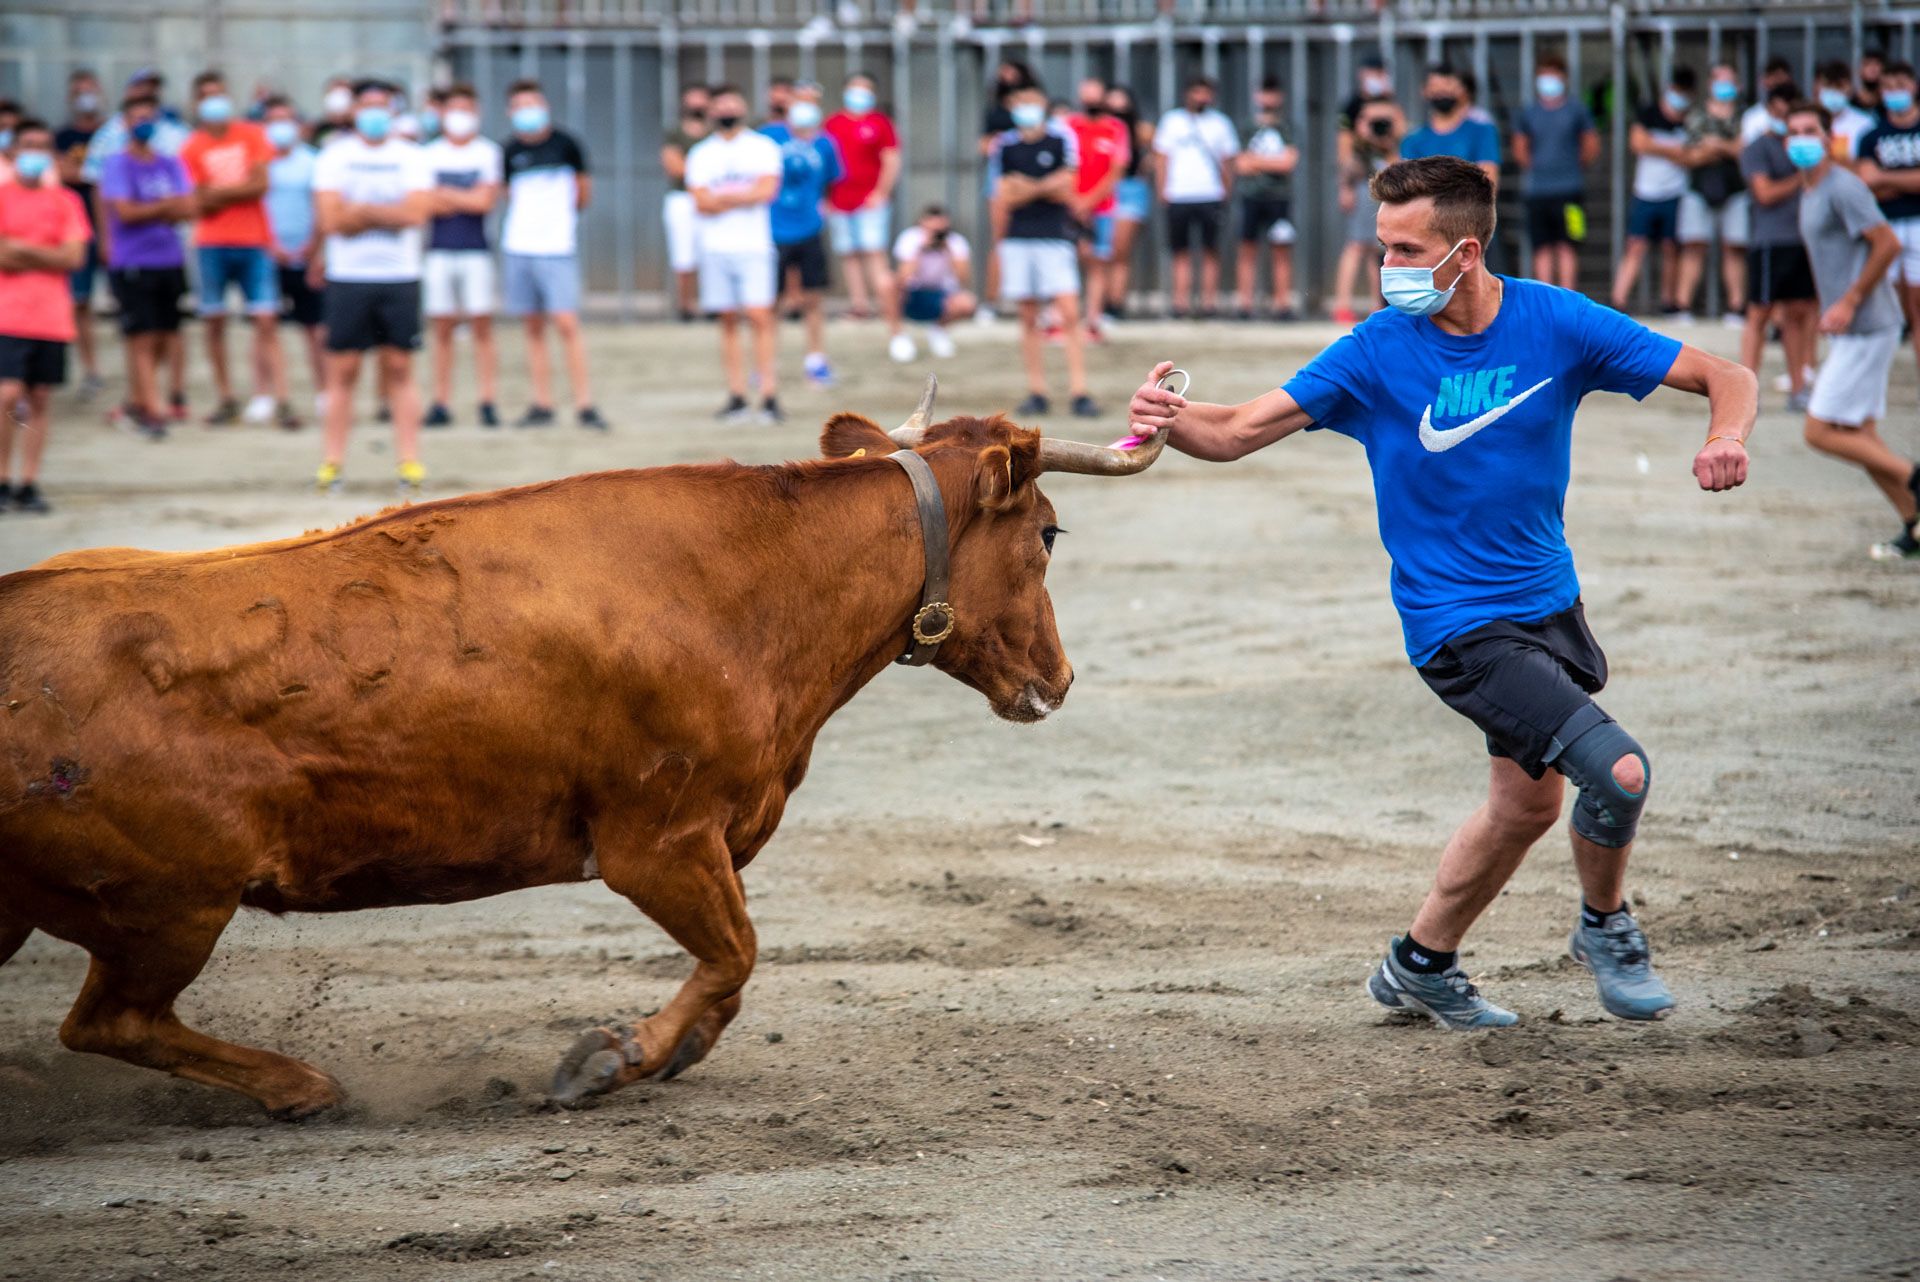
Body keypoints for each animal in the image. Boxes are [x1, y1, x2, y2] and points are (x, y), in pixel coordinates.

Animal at [0, 383, 1159, 1120]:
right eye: (1048, 532)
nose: (1059, 678)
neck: (754, 578)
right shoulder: (661, 840)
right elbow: (737, 955)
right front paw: (609, 1058)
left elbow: (731, 976)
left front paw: (664, 1050)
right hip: (169, 906)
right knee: (111, 1021)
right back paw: (303, 1087)